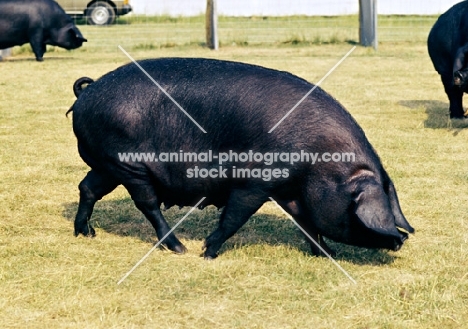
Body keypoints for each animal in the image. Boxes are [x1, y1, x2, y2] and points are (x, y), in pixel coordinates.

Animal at [67, 57, 414, 258]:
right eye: (359, 209)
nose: (400, 241)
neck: (319, 160)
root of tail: (87, 91)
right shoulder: (256, 181)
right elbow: (235, 216)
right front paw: (207, 252)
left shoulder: (290, 192)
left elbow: (306, 223)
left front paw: (328, 255)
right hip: (130, 165)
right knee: (147, 203)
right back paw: (179, 249)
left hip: (110, 164)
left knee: (88, 188)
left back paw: (86, 233)